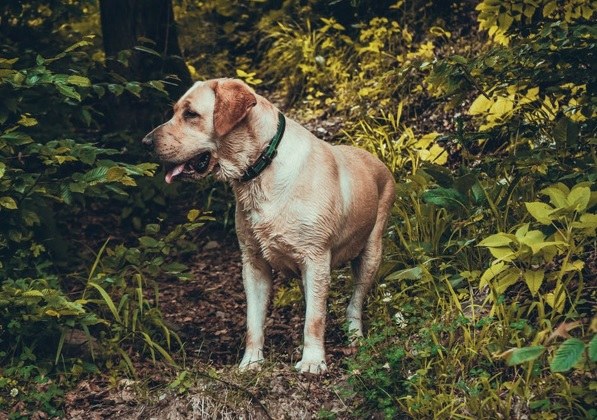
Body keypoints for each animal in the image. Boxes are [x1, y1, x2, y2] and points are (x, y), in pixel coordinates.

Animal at [143, 79, 396, 374]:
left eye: (190, 114)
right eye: (174, 112)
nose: (145, 142)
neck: (262, 166)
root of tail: (376, 159)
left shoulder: (316, 258)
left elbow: (315, 319)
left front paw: (312, 361)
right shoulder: (253, 264)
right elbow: (254, 322)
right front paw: (251, 361)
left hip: (371, 254)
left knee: (354, 302)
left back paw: (355, 336)